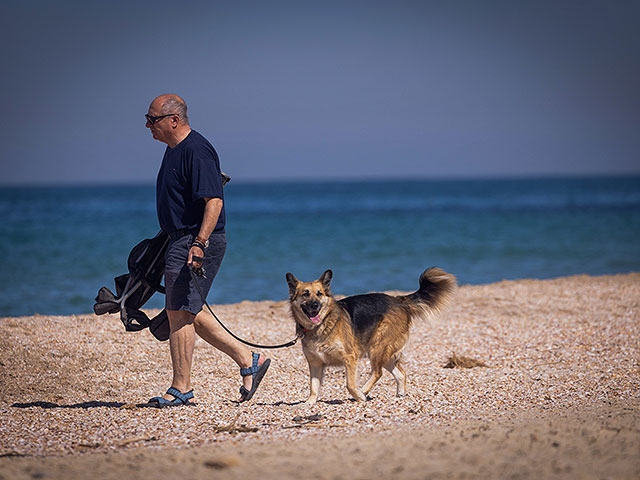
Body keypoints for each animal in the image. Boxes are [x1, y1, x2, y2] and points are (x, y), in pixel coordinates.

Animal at [288, 266, 458, 404]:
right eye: (305, 294)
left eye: (319, 294)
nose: (315, 305)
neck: (320, 325)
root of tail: (398, 300)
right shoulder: (315, 363)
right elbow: (313, 386)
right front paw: (309, 402)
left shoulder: (350, 358)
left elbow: (350, 384)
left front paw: (359, 395)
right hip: (385, 354)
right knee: (400, 374)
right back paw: (400, 395)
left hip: (377, 348)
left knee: (377, 372)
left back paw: (363, 391)